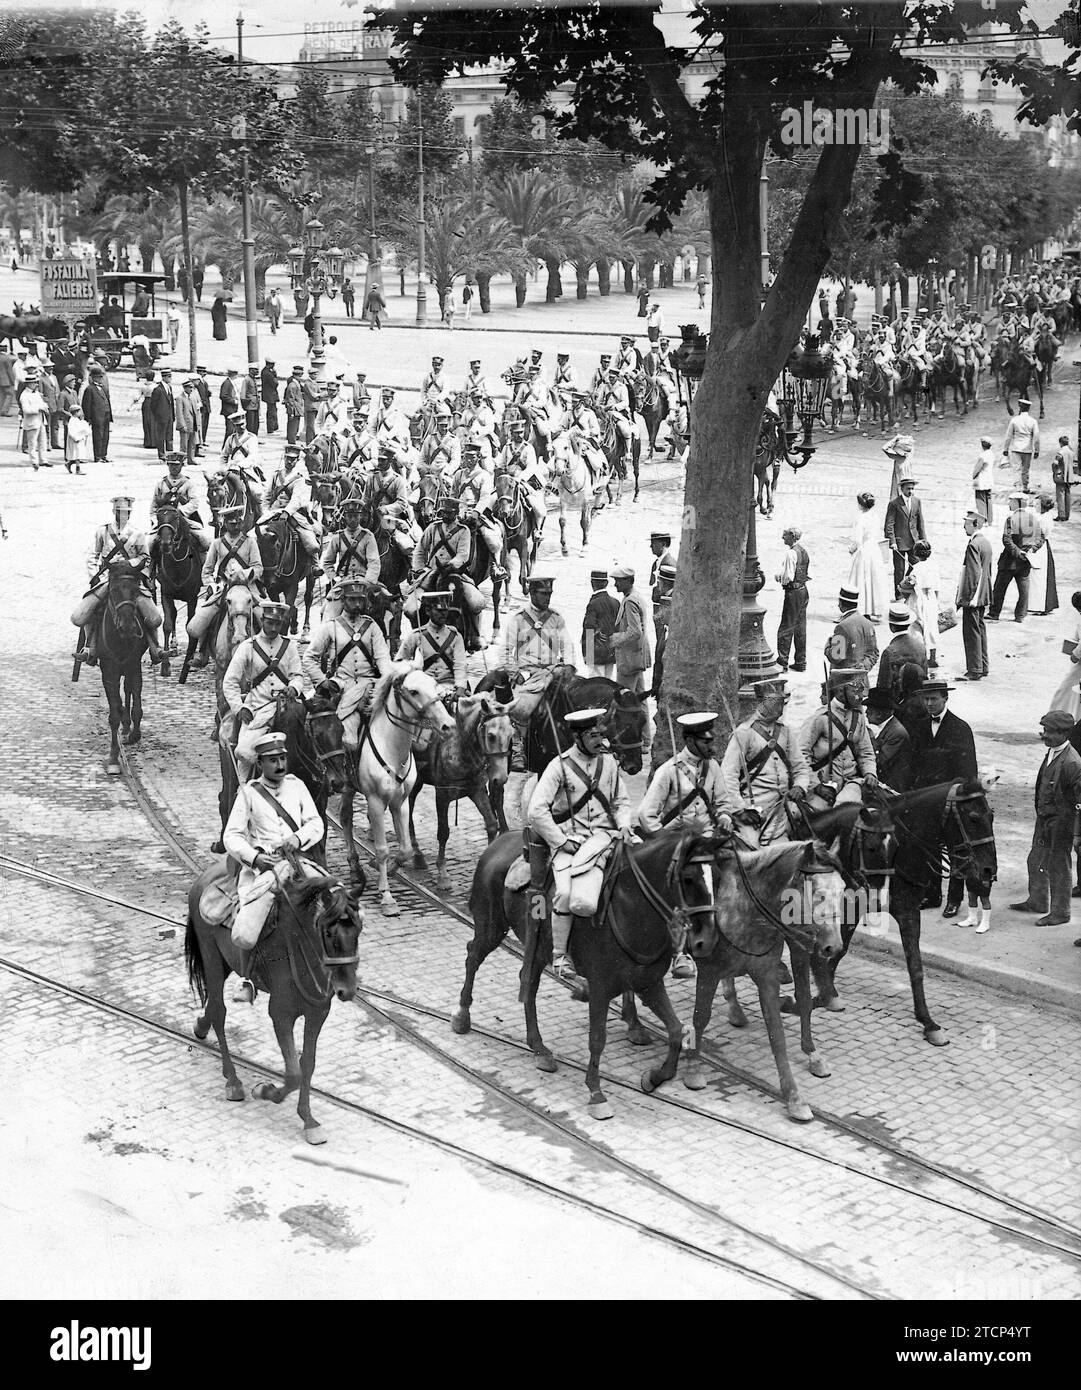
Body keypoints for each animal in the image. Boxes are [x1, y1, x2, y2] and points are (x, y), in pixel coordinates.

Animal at [149, 508, 202, 686]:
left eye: (175, 517)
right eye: (159, 517)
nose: (165, 544)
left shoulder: (193, 598)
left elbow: (190, 626)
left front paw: (189, 663)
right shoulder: (166, 594)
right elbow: (167, 624)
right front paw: (165, 667)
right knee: (173, 614)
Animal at [183, 867, 364, 1139]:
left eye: (359, 929)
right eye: (329, 933)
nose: (347, 990)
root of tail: (206, 877)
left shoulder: (317, 1013)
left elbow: (307, 1064)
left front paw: (308, 1119)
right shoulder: (280, 1014)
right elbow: (293, 1074)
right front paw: (265, 1091)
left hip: (226, 963)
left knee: (212, 1008)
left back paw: (201, 1026)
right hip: (211, 957)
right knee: (219, 1012)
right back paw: (233, 1081)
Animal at [355, 661, 452, 911]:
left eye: (434, 684)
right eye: (414, 691)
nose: (448, 725)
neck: (391, 747)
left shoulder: (401, 801)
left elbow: (405, 847)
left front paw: (392, 867)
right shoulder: (375, 802)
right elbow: (382, 850)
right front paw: (387, 896)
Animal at [408, 689, 514, 884]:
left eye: (511, 734)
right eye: (491, 736)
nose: (500, 779)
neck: (458, 745)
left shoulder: (477, 791)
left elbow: (491, 824)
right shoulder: (442, 795)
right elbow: (443, 832)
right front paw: (442, 874)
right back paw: (416, 854)